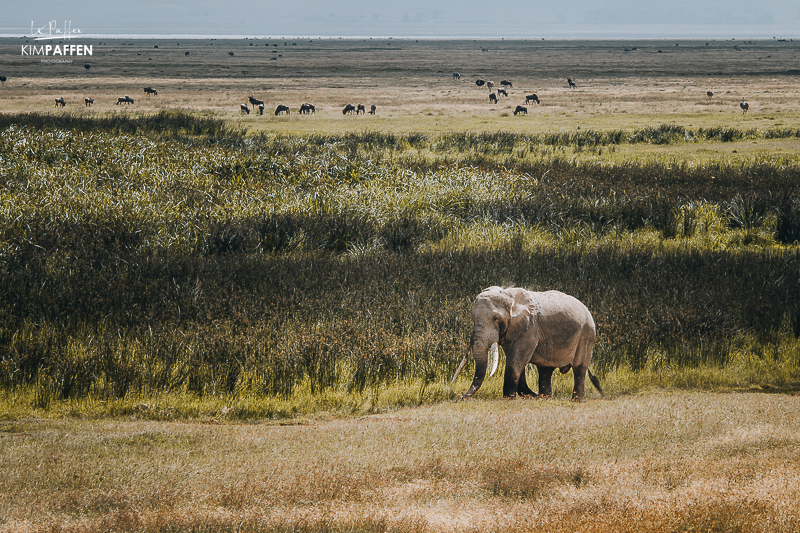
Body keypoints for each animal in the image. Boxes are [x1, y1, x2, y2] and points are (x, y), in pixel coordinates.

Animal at [454, 286, 604, 400]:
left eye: (496, 318)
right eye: (472, 316)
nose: (462, 399)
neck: (509, 296)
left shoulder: (530, 328)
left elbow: (516, 361)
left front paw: (509, 398)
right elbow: (517, 361)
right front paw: (528, 395)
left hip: (586, 333)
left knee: (579, 368)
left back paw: (576, 400)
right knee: (545, 370)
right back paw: (544, 397)